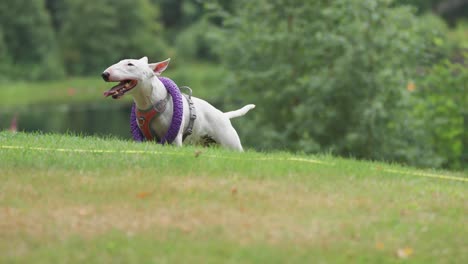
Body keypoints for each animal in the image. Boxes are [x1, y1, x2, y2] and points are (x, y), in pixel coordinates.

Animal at [102, 56, 256, 152]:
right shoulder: (145, 137)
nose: (104, 74)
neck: (150, 103)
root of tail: (224, 115)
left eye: (130, 64)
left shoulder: (175, 139)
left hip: (231, 142)